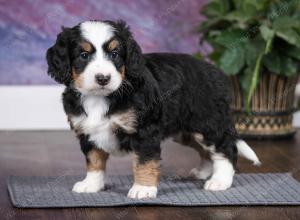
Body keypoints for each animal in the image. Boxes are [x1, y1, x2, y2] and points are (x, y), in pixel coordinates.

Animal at [46, 20, 260, 199]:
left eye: (115, 54)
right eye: (83, 55)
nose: (103, 78)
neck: (101, 97)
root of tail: (216, 71)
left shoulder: (145, 131)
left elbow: (144, 161)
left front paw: (143, 188)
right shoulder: (87, 132)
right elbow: (94, 161)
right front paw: (91, 184)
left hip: (208, 123)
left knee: (226, 148)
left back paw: (220, 180)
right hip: (185, 131)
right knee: (206, 151)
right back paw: (204, 172)